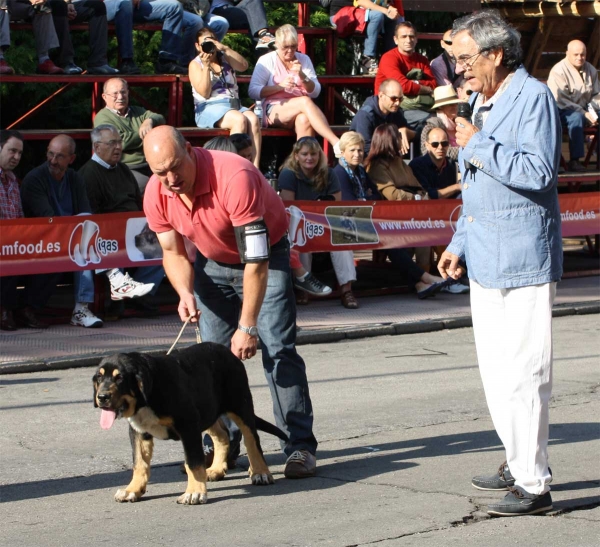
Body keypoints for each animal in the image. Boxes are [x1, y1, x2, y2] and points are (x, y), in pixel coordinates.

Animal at [94, 344, 288, 508]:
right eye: (99, 378)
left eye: (120, 378)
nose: (101, 397)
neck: (146, 397)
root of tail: (228, 352)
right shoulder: (138, 431)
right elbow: (139, 463)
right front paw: (132, 490)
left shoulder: (188, 426)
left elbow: (193, 462)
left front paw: (194, 493)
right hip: (207, 412)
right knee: (223, 436)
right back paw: (216, 469)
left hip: (240, 405)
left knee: (251, 439)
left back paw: (260, 472)